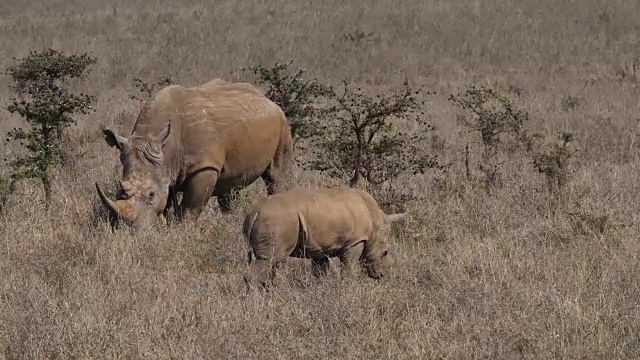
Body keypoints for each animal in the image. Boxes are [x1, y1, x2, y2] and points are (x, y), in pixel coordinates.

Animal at [95, 79, 292, 231]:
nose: (130, 229)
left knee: (276, 175)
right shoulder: (165, 167)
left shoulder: (204, 166)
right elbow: (167, 205)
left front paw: (183, 232)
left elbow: (190, 208)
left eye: (151, 194)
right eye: (119, 191)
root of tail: (267, 99)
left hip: (283, 123)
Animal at [242, 186, 408, 290]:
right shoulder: (355, 241)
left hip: (273, 221)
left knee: (270, 262)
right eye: (385, 252)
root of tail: (255, 212)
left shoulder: (321, 248)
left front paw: (320, 289)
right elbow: (349, 267)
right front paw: (349, 286)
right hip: (277, 220)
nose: (381, 275)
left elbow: (320, 272)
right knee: (269, 260)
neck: (376, 221)